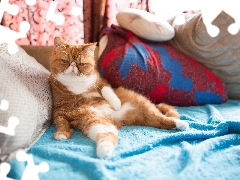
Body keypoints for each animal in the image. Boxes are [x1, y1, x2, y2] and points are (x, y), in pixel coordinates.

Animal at [49, 36, 189, 158]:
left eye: (81, 63)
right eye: (65, 61)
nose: (73, 66)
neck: (76, 86)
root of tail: (119, 119)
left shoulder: (101, 81)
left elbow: (107, 91)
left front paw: (116, 104)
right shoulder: (59, 110)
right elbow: (61, 122)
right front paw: (62, 133)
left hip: (146, 108)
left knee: (164, 118)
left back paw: (182, 124)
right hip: (96, 122)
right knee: (109, 135)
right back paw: (104, 151)